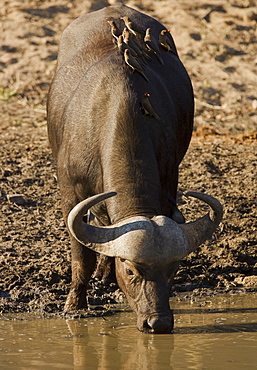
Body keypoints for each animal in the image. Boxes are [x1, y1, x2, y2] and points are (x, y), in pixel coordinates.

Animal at [46, 2, 222, 334]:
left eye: (172, 270)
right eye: (130, 271)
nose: (158, 323)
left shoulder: (168, 182)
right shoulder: (71, 192)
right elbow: (81, 256)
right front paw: (75, 305)